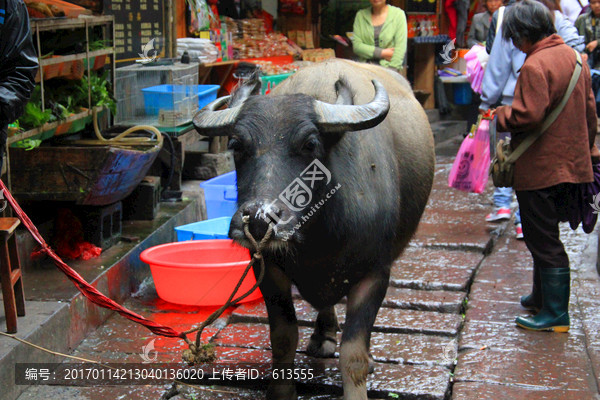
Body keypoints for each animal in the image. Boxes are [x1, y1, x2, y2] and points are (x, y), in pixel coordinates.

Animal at [195, 59, 434, 400]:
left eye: (309, 144)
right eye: (237, 145)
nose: (259, 219)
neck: (319, 240)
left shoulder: (376, 273)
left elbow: (354, 353)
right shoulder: (269, 270)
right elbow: (283, 337)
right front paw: (280, 392)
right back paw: (323, 337)